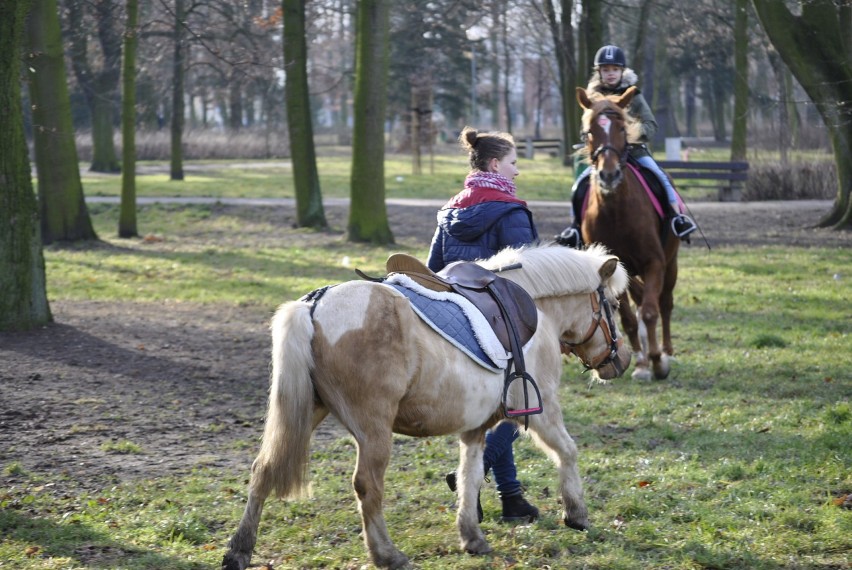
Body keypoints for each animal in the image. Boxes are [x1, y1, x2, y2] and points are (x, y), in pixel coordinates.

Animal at [225, 244, 632, 568]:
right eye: (613, 305)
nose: (623, 360)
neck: (536, 308)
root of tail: (315, 304)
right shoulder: (543, 408)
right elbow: (568, 452)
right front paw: (576, 514)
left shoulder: (475, 427)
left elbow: (470, 475)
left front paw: (471, 536)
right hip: (373, 430)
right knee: (367, 485)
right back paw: (387, 555)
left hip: (308, 412)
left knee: (264, 469)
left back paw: (239, 550)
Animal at [576, 85, 684, 382]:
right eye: (589, 131)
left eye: (623, 129)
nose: (609, 174)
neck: (616, 211)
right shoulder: (614, 268)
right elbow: (628, 318)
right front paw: (642, 363)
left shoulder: (655, 262)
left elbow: (650, 312)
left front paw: (658, 361)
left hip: (671, 262)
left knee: (665, 304)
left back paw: (667, 351)